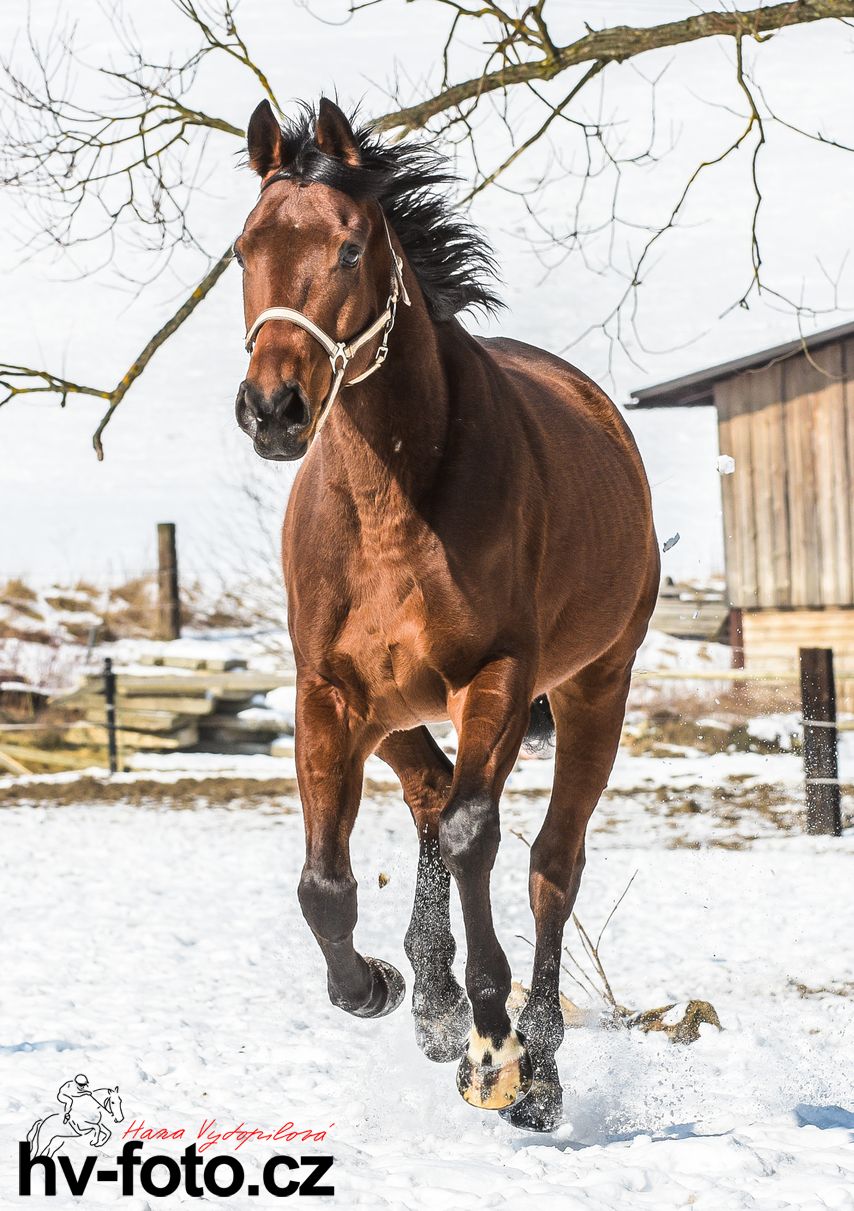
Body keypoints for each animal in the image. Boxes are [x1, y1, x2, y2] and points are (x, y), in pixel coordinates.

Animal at [235, 99, 658, 1128]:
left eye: (349, 249)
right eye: (241, 250)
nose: (273, 408)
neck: (394, 499)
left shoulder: (495, 678)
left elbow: (478, 840)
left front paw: (495, 1046)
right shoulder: (331, 693)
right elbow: (325, 884)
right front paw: (382, 989)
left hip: (596, 689)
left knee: (549, 864)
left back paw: (535, 1071)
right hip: (395, 711)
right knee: (431, 796)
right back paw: (431, 997)